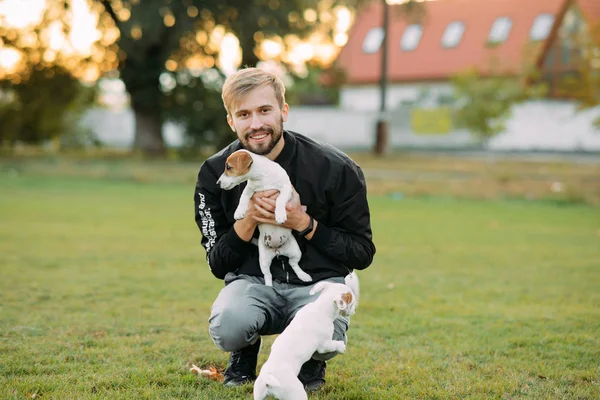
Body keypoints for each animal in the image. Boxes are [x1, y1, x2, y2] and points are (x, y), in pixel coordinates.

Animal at [219, 148, 314, 286]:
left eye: (229, 167)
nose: (218, 183)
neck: (261, 178)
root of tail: (277, 250)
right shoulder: (249, 189)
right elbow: (243, 198)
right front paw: (239, 212)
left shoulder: (286, 188)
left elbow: (280, 199)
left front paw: (280, 215)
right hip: (263, 260)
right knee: (268, 275)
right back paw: (269, 286)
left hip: (296, 252)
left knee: (293, 264)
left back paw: (303, 275)